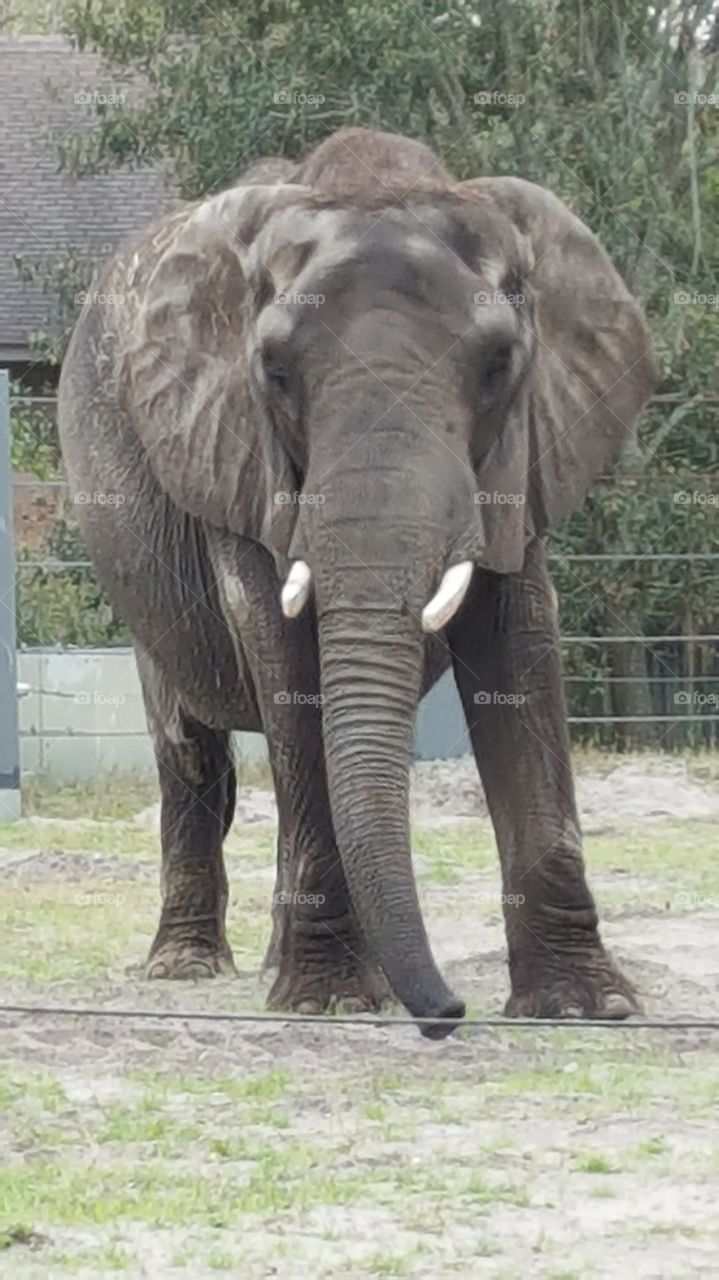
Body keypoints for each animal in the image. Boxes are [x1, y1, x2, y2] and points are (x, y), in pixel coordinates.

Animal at [58, 126, 656, 1038]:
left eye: (498, 366)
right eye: (273, 372)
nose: (445, 1013)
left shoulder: (523, 452)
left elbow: (518, 641)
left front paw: (585, 1008)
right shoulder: (232, 450)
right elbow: (282, 649)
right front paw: (332, 1000)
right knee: (190, 751)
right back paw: (187, 968)